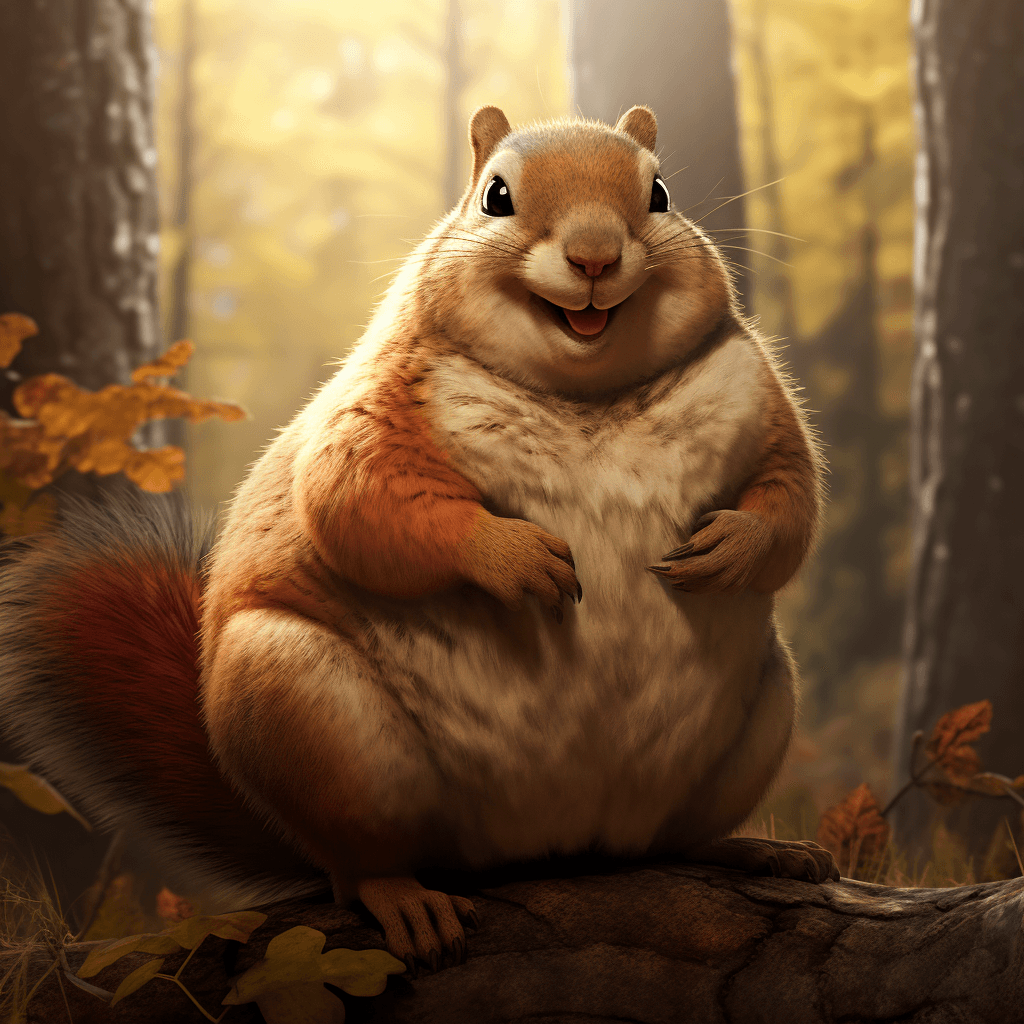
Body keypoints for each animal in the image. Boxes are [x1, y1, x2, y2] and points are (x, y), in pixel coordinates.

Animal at [0, 105, 838, 973]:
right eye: (496, 196)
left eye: (659, 193)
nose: (595, 255)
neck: (587, 392)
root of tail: (554, 841)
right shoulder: (376, 412)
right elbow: (359, 501)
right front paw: (517, 558)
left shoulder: (762, 402)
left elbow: (791, 498)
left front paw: (731, 548)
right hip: (310, 712)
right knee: (362, 862)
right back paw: (405, 901)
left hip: (756, 722)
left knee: (671, 842)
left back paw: (753, 851)